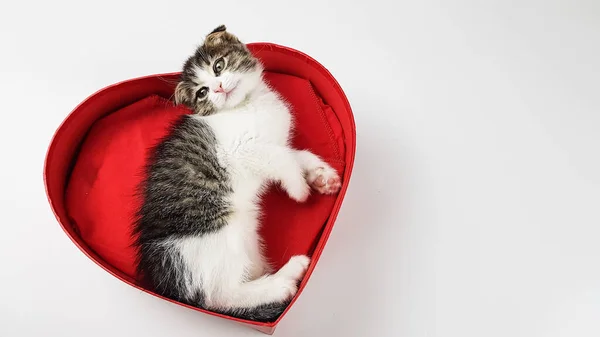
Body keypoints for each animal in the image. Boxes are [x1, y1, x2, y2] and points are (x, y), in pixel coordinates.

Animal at [134, 25, 342, 320]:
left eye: (218, 66)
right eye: (202, 93)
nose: (218, 87)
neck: (249, 104)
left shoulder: (271, 143)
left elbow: (294, 154)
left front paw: (320, 176)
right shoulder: (240, 150)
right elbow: (282, 158)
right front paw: (299, 189)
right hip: (217, 236)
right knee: (221, 296)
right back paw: (283, 282)